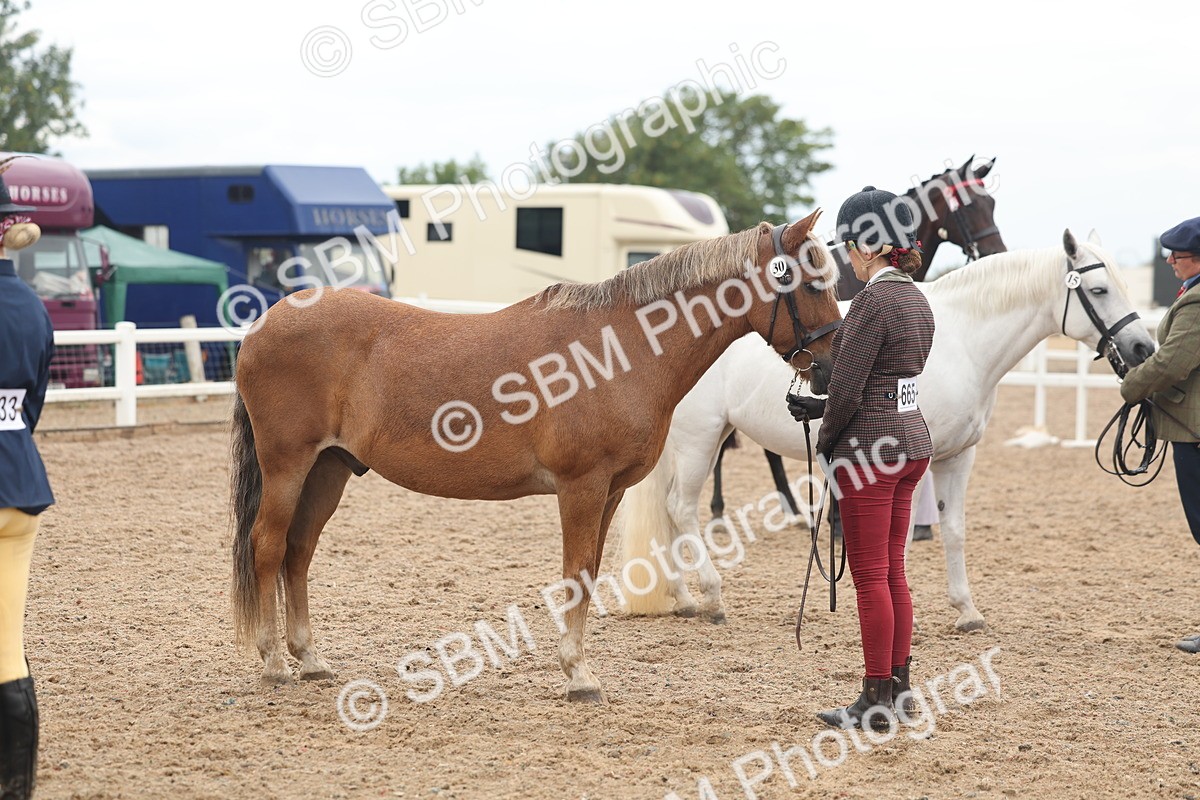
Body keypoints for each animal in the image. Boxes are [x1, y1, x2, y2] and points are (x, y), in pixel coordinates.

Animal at [228, 211, 843, 702]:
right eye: (812, 280)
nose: (832, 368)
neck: (618, 349)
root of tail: (263, 325)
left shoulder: (610, 491)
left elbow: (589, 574)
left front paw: (578, 668)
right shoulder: (581, 487)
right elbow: (574, 574)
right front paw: (578, 675)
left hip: (329, 469)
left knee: (298, 552)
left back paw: (310, 659)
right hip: (288, 466)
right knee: (268, 546)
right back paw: (275, 664)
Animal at [618, 230, 1155, 630]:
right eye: (1100, 290)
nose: (1143, 347)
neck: (962, 339)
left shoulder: (958, 457)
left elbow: (954, 531)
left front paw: (967, 610)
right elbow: (900, 539)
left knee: (666, 512)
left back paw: (683, 597)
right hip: (700, 438)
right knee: (680, 508)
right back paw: (711, 597)